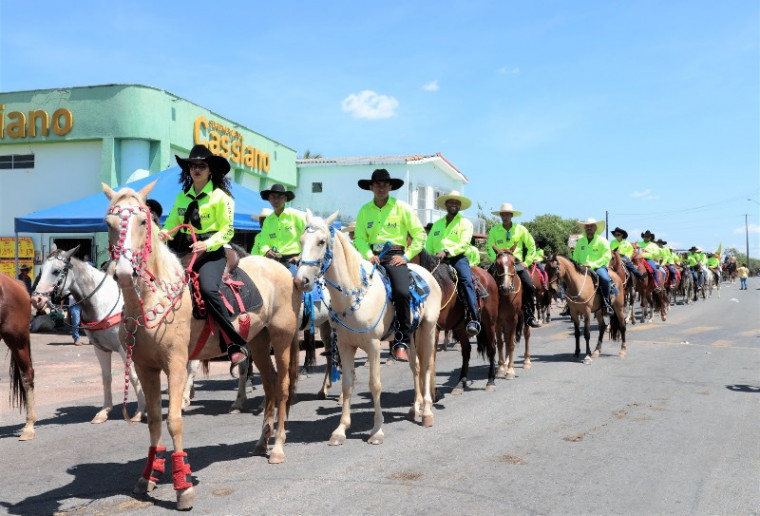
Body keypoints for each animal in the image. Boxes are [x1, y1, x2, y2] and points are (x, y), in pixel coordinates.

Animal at [101, 183, 302, 510]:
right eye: (109, 223)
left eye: (143, 222)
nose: (123, 273)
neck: (152, 298)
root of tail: (283, 269)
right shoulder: (145, 367)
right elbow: (154, 420)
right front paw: (148, 477)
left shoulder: (175, 364)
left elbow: (174, 421)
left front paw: (183, 487)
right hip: (258, 342)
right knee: (271, 385)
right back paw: (262, 442)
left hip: (282, 338)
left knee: (283, 387)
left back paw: (278, 448)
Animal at [294, 210, 442, 444]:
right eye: (301, 241)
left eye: (321, 241)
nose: (301, 281)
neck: (353, 295)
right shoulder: (345, 346)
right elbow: (347, 384)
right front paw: (340, 430)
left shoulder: (373, 346)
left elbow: (375, 385)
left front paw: (377, 430)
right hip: (409, 334)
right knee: (416, 366)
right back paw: (414, 408)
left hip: (427, 329)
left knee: (427, 365)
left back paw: (426, 412)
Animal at [416, 248, 498, 394]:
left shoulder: (434, 328)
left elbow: (430, 357)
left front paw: (432, 392)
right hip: (460, 327)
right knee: (466, 350)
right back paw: (461, 383)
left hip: (490, 322)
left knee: (492, 347)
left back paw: (490, 381)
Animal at [490, 252, 532, 380]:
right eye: (497, 264)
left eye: (513, 263)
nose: (506, 287)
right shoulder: (498, 320)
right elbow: (500, 343)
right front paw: (501, 368)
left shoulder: (513, 319)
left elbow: (511, 344)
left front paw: (510, 371)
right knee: (507, 339)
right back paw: (507, 362)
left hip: (523, 316)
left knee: (526, 334)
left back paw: (526, 361)